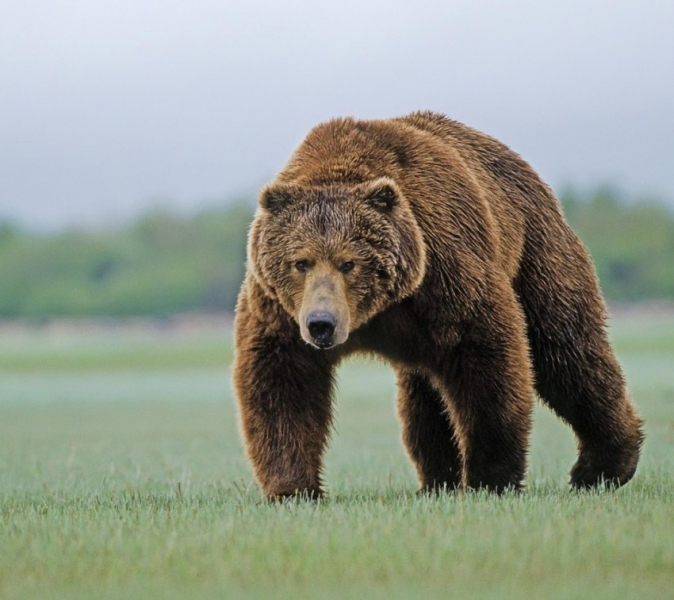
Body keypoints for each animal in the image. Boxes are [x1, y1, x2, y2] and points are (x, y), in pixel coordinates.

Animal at [234, 110, 644, 500]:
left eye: (349, 262)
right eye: (300, 262)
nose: (322, 323)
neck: (377, 311)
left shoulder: (445, 272)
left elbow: (488, 362)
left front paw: (490, 478)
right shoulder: (280, 309)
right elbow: (283, 381)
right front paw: (293, 488)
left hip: (536, 251)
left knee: (566, 350)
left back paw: (602, 467)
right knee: (424, 397)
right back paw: (437, 480)